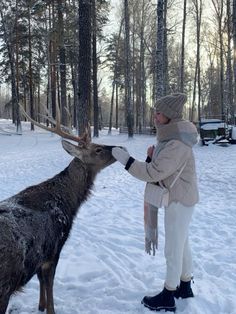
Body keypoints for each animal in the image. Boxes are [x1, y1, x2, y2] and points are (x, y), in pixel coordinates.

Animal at [0, 106, 118, 312]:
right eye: (98, 149)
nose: (120, 149)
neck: (69, 203)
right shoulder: (55, 247)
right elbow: (50, 283)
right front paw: (50, 309)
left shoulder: (41, 255)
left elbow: (41, 281)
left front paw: (40, 305)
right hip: (4, 286)